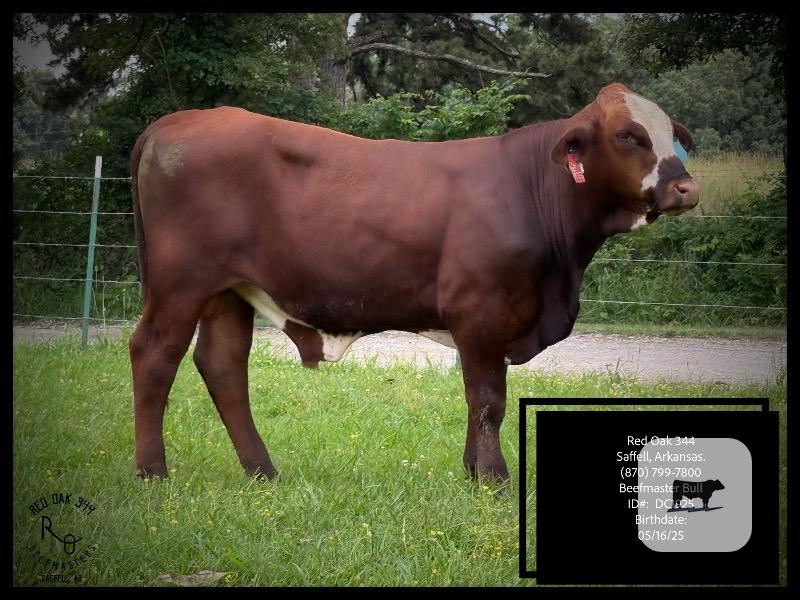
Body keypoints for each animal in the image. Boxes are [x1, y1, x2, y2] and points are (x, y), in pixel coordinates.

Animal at [129, 82, 699, 483]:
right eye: (628, 134)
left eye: (672, 135)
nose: (686, 188)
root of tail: (179, 120)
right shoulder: (482, 309)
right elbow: (488, 399)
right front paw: (494, 479)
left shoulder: (486, 324)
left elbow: (477, 399)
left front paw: (471, 472)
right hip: (180, 285)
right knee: (155, 355)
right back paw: (153, 473)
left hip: (228, 292)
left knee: (223, 365)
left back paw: (263, 472)